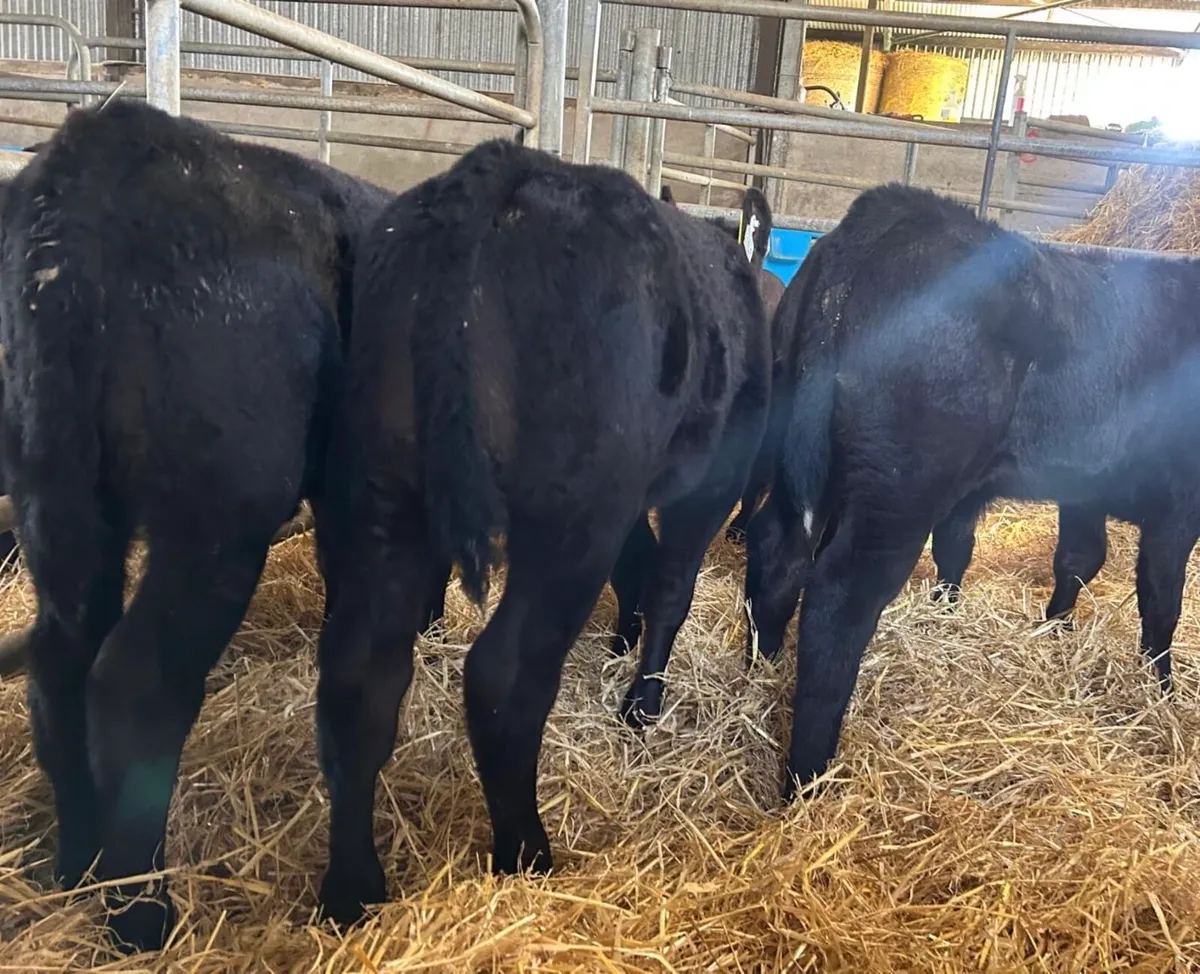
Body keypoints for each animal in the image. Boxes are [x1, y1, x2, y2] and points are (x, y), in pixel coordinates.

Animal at [0, 99, 392, 952]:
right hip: (215, 519)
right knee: (135, 685)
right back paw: (141, 914)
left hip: (55, 495)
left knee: (60, 660)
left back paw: (77, 867)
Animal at [313, 139, 770, 925]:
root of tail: (501, 172)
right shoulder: (709, 481)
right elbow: (672, 588)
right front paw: (642, 702)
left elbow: (641, 565)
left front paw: (624, 644)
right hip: (569, 516)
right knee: (505, 676)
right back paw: (526, 851)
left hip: (385, 487)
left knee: (359, 676)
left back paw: (352, 891)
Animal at [746, 183, 1199, 799]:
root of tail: (891, 217)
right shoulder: (1178, 505)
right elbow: (1160, 600)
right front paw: (1161, 692)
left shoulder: (1084, 487)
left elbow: (1077, 558)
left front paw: (1053, 633)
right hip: (900, 491)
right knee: (838, 599)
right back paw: (808, 779)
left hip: (803, 459)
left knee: (778, 551)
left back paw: (759, 672)